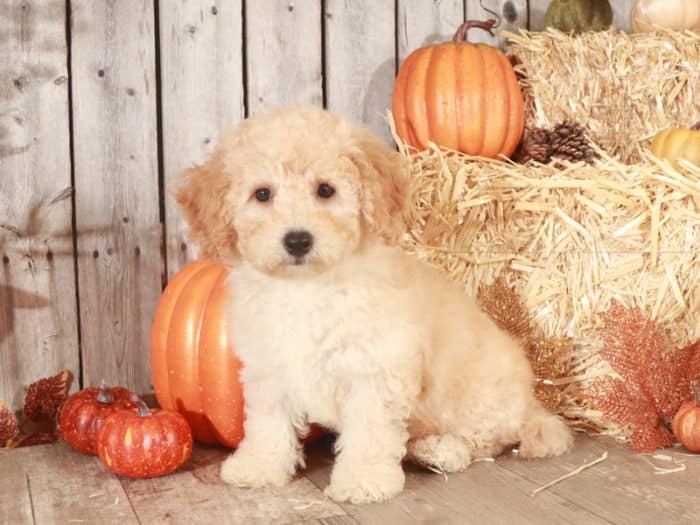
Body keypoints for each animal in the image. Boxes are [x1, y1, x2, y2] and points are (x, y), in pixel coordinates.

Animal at [176, 105, 576, 504]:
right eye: (262, 194)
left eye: (326, 190)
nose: (298, 240)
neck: (308, 287)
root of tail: (531, 402)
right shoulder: (270, 367)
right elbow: (267, 422)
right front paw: (259, 465)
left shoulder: (376, 368)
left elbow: (369, 430)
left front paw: (363, 479)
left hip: (481, 400)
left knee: (484, 440)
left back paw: (439, 450)